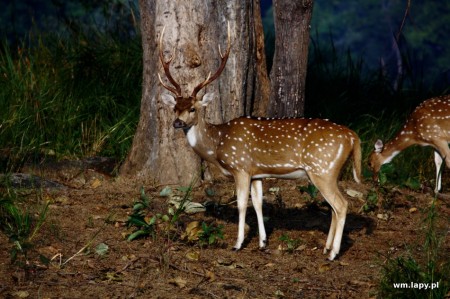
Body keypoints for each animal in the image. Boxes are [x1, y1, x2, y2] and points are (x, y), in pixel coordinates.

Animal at [158, 25, 362, 260]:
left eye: (192, 108)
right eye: (175, 108)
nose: (177, 122)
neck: (217, 144)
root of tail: (352, 136)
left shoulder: (241, 167)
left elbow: (241, 204)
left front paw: (238, 243)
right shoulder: (257, 173)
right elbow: (258, 203)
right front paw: (263, 242)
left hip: (322, 169)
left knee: (342, 204)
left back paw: (333, 253)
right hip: (329, 171)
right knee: (333, 208)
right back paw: (326, 247)